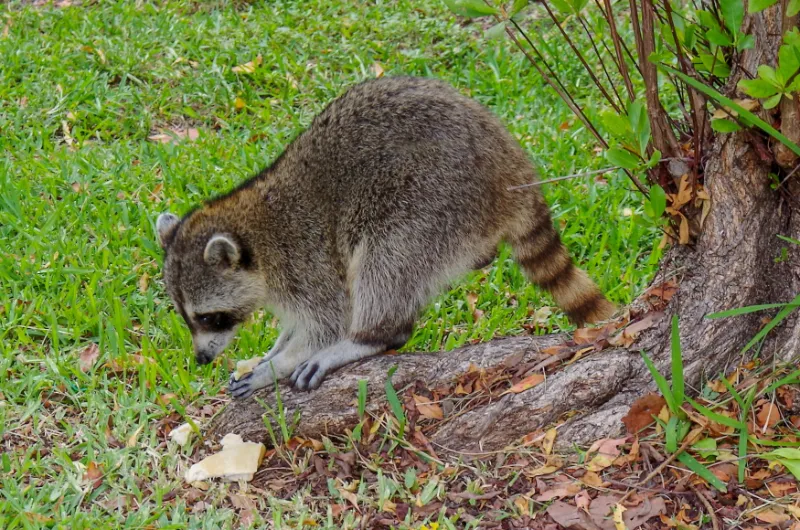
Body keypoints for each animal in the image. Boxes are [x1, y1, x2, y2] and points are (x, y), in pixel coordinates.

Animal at [158, 75, 620, 396]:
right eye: (187, 317)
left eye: (209, 318)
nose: (201, 359)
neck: (250, 228)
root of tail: (511, 165)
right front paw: (275, 349)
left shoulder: (304, 257)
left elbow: (327, 320)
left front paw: (281, 363)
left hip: (435, 198)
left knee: (386, 255)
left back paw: (371, 336)